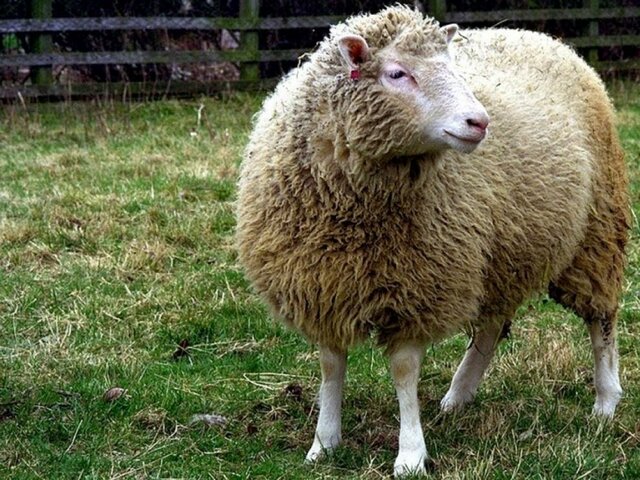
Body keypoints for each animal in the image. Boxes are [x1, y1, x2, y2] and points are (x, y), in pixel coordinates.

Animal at [235, 5, 630, 477]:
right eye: (397, 73)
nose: (479, 122)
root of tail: (536, 35)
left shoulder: (418, 286)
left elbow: (404, 372)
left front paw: (409, 454)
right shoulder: (324, 285)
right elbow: (331, 366)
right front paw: (324, 443)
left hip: (597, 229)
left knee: (601, 320)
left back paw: (605, 401)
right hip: (502, 251)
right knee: (492, 325)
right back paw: (458, 396)